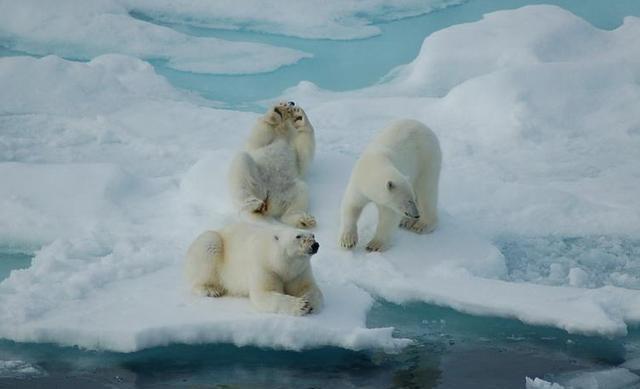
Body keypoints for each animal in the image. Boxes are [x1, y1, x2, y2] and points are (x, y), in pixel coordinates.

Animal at [185, 221, 324, 316]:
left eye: (313, 235)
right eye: (298, 236)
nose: (315, 245)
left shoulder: (299, 271)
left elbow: (309, 288)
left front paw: (308, 301)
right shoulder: (265, 266)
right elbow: (264, 293)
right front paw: (301, 306)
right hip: (211, 244)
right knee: (209, 245)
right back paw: (211, 289)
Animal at [340, 118, 440, 252]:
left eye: (412, 199)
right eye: (408, 200)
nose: (416, 214)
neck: (373, 165)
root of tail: (425, 127)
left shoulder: (389, 202)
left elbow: (388, 218)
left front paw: (374, 245)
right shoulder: (358, 185)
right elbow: (351, 206)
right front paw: (348, 241)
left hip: (427, 159)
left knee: (426, 191)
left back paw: (422, 225)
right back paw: (406, 221)